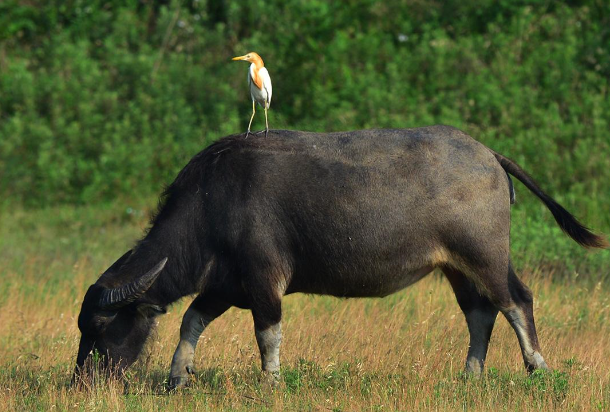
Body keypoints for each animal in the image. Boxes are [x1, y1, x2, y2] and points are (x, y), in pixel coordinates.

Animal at [71, 125, 604, 386]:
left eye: (100, 325)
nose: (82, 382)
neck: (212, 203)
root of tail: (488, 154)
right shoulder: (225, 284)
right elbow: (191, 321)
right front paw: (177, 377)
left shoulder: (263, 280)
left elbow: (267, 334)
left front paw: (271, 382)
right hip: (455, 267)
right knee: (480, 313)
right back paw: (469, 377)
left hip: (485, 255)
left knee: (516, 300)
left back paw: (538, 368)